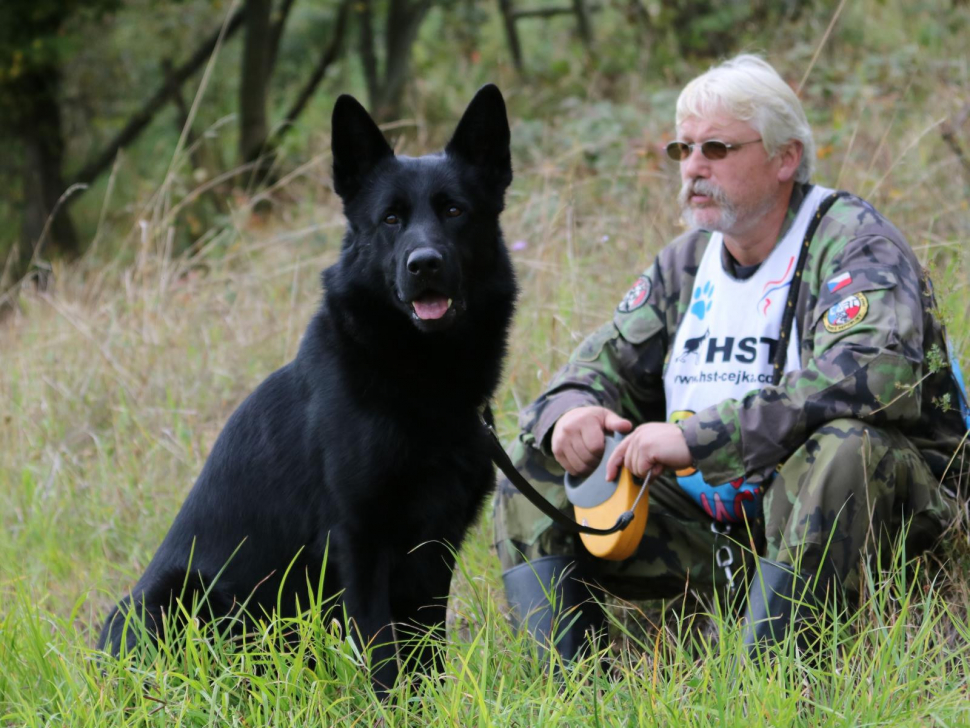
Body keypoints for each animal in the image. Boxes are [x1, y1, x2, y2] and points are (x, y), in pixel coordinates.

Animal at [99, 85, 520, 692]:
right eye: (390, 218)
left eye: (455, 211)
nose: (425, 265)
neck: (414, 374)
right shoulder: (359, 542)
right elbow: (384, 657)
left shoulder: (434, 549)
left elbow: (427, 657)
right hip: (176, 597)